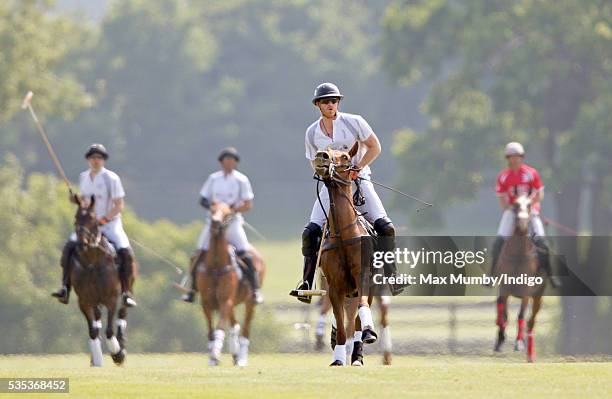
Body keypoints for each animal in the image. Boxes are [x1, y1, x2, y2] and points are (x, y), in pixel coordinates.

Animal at [70, 195, 131, 368]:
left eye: (93, 219)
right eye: (76, 218)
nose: (82, 244)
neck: (93, 262)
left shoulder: (111, 298)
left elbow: (110, 330)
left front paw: (118, 354)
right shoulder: (84, 301)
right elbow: (93, 331)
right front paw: (98, 359)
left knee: (122, 314)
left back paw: (121, 347)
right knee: (97, 322)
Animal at [195, 205, 264, 368]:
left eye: (227, 213)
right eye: (212, 209)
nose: (215, 223)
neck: (215, 265)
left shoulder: (225, 301)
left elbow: (219, 327)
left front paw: (215, 354)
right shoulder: (206, 302)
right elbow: (211, 331)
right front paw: (212, 356)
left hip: (249, 302)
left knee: (245, 329)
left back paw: (242, 358)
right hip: (232, 303)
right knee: (235, 326)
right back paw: (235, 354)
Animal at [316, 146, 378, 366]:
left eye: (344, 156)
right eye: (326, 150)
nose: (322, 157)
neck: (343, 234)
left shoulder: (364, 277)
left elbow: (361, 310)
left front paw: (369, 332)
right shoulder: (334, 287)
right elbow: (341, 324)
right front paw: (338, 358)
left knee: (358, 318)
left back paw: (359, 353)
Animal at [492, 194, 544, 362]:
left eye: (529, 205)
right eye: (514, 204)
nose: (522, 221)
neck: (518, 255)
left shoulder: (526, 291)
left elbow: (521, 315)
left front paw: (519, 343)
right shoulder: (504, 288)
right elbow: (502, 311)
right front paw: (501, 337)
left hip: (538, 296)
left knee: (531, 320)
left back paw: (529, 349)